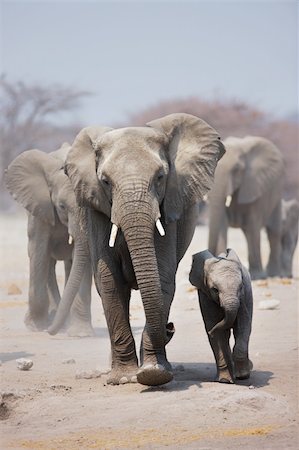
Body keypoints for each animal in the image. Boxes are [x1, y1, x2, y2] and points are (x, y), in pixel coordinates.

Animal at [4, 142, 94, 336]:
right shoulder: (39, 207)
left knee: (67, 263)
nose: (50, 332)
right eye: (61, 206)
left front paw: (80, 333)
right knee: (47, 263)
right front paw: (35, 326)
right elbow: (38, 251)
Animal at [52, 113, 225, 386]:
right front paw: (124, 378)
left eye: (160, 177)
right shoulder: (97, 211)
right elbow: (109, 280)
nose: (170, 327)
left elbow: (162, 277)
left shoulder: (169, 206)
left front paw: (154, 373)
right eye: (105, 181)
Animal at [190, 248, 253, 382]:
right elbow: (217, 334)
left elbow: (243, 326)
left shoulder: (243, 298)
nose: (210, 332)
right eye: (215, 290)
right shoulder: (205, 296)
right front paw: (225, 380)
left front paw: (242, 375)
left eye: (241, 287)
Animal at [207, 135, 284, 280]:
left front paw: (257, 276)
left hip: (276, 194)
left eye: (236, 169)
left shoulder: (254, 185)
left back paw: (275, 274)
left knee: (273, 231)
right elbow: (222, 225)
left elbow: (253, 227)